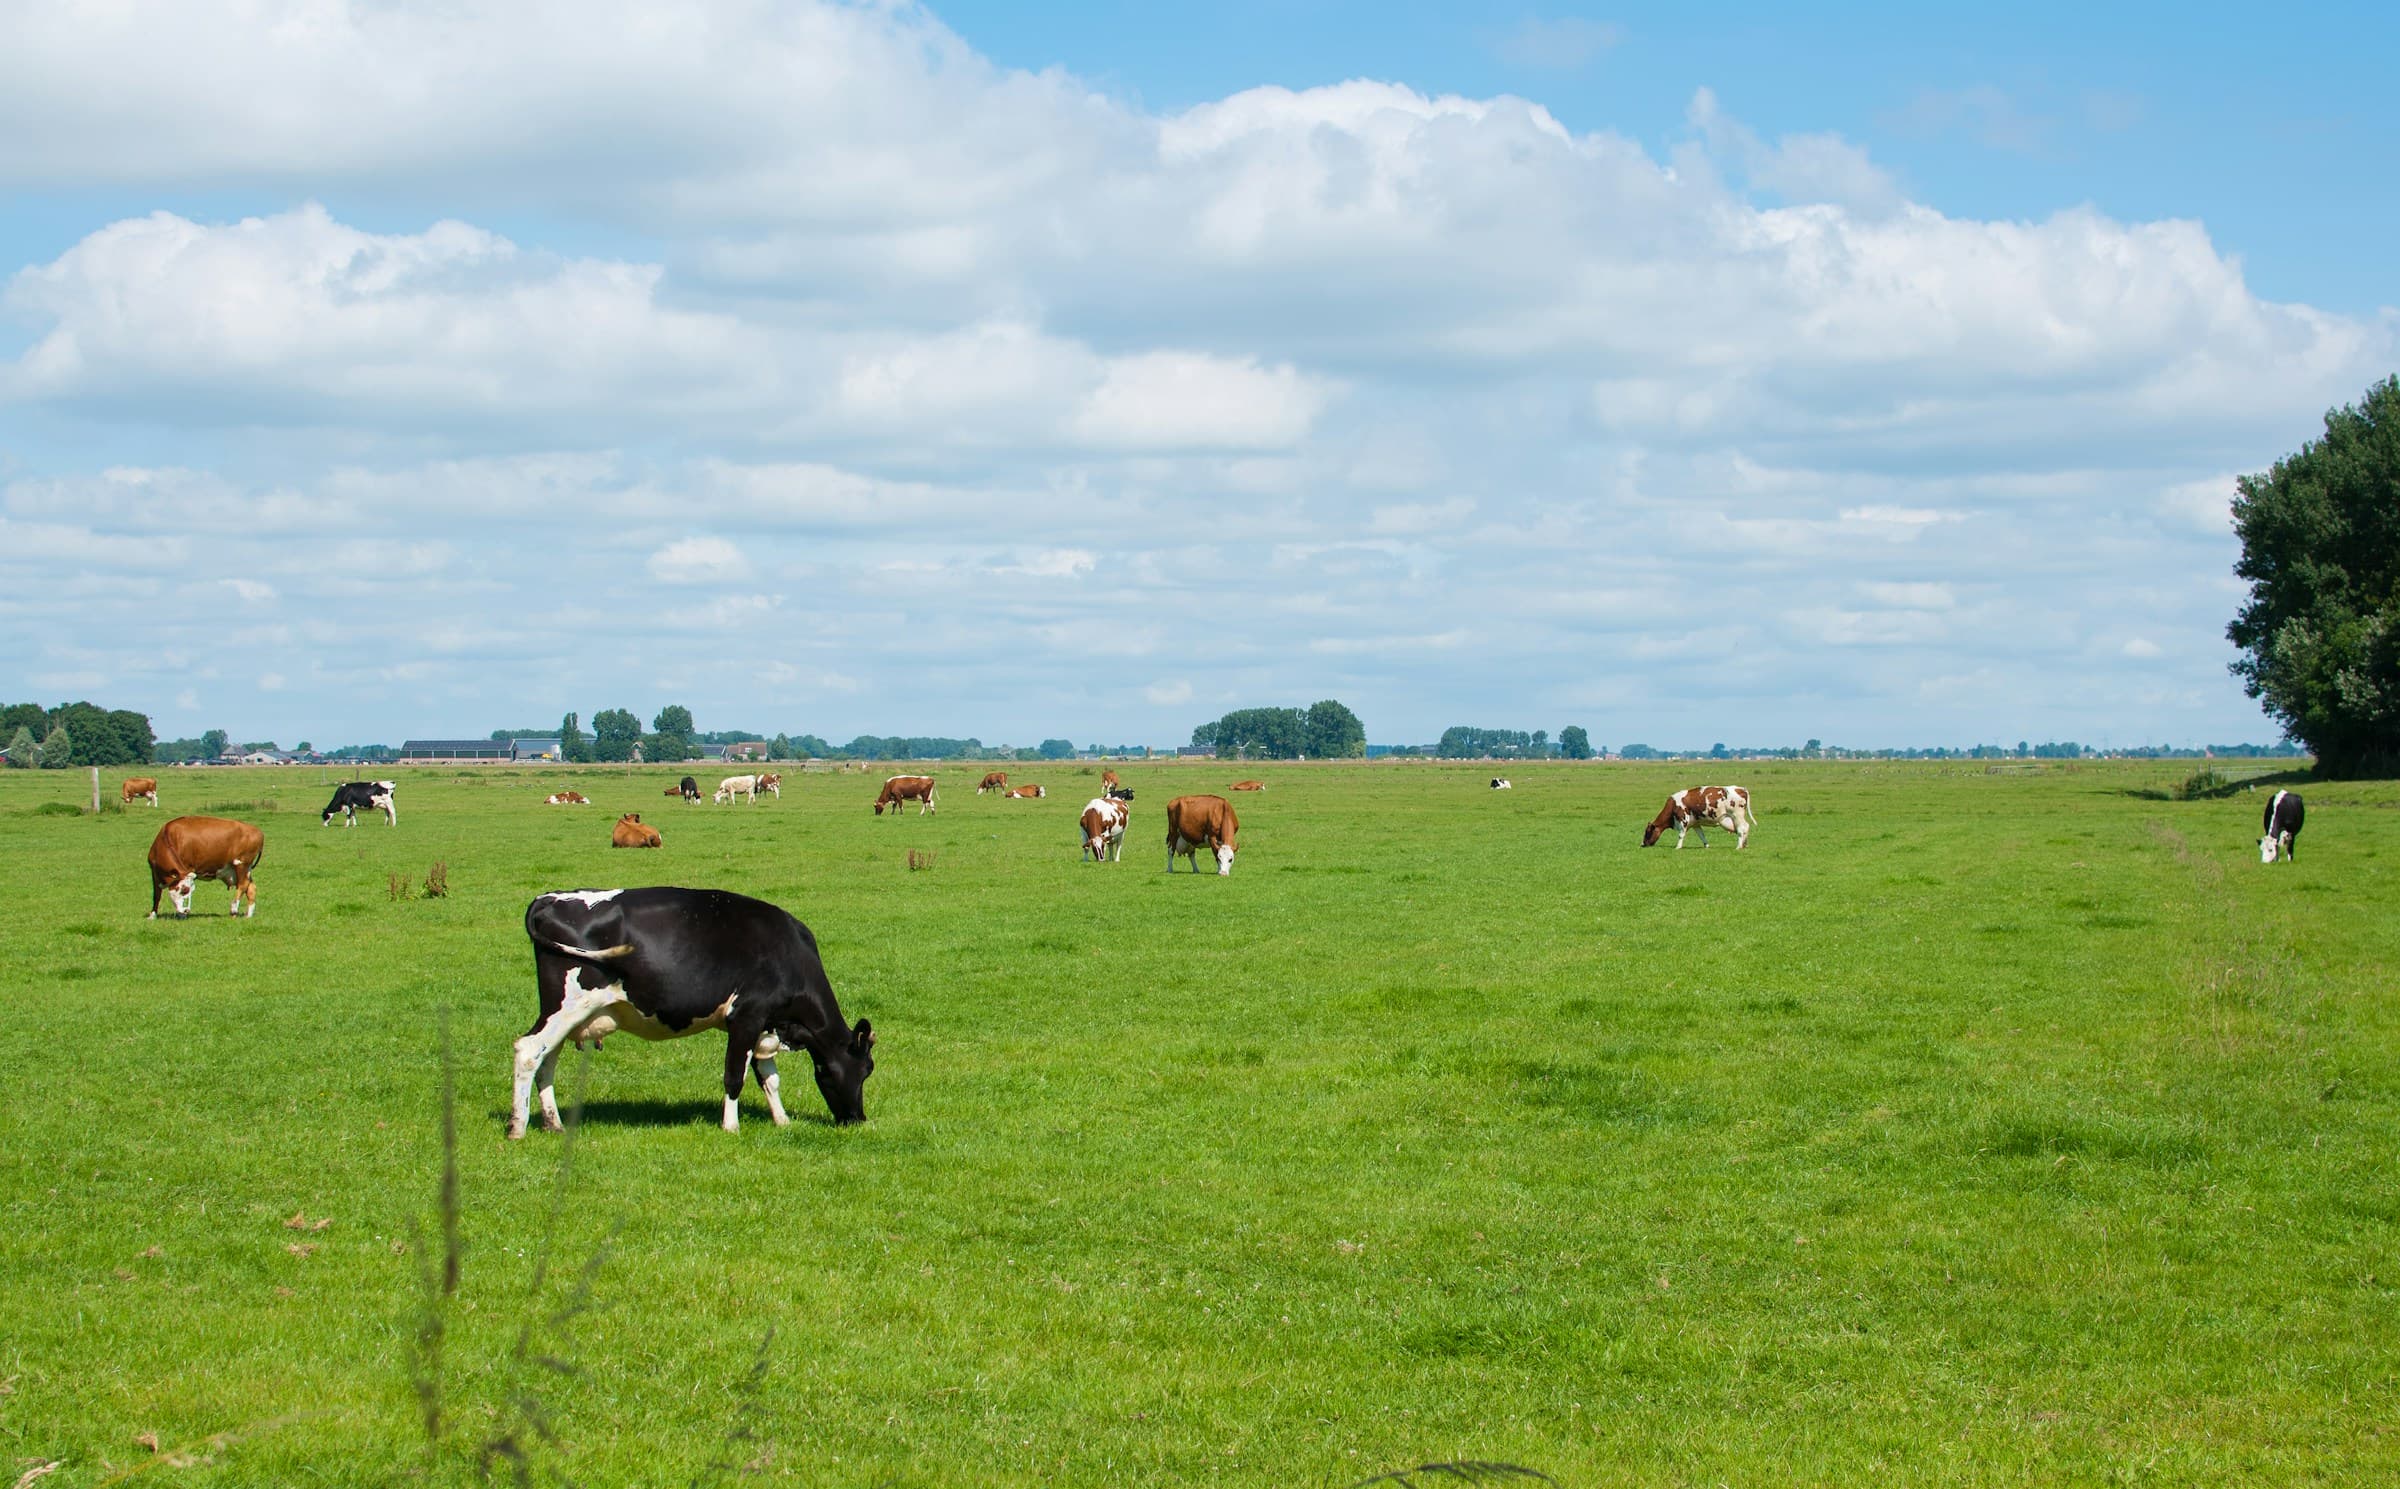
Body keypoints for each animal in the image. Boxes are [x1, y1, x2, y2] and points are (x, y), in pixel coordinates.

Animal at [509, 887, 875, 1139]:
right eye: (862, 1070)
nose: (857, 1120)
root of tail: (548, 898)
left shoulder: (766, 1025)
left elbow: (770, 1078)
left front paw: (782, 1120)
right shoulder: (746, 1018)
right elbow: (735, 1077)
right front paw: (731, 1126)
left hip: (563, 1013)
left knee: (547, 1060)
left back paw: (553, 1123)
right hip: (567, 1005)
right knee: (528, 1052)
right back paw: (517, 1127)